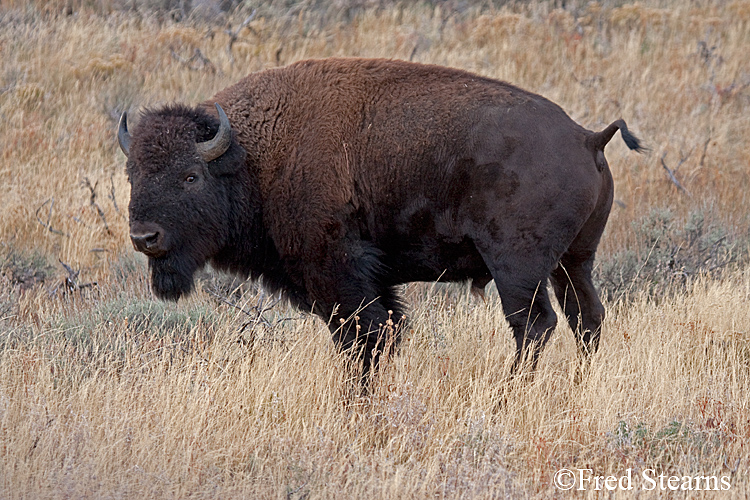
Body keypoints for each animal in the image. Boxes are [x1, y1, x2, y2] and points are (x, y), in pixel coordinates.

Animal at [119, 57, 648, 378]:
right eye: (132, 173)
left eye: (190, 176)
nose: (145, 237)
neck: (254, 155)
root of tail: (586, 137)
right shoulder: (371, 283)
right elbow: (384, 332)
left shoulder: (339, 275)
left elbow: (363, 339)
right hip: (574, 261)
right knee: (586, 317)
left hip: (518, 267)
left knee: (535, 325)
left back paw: (508, 395)